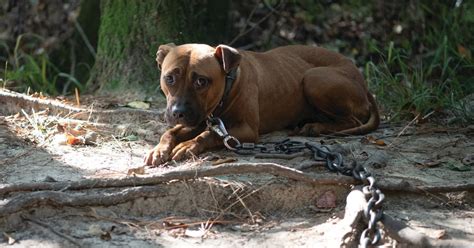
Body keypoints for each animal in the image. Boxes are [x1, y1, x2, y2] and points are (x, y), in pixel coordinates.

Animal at [143, 43, 380, 166]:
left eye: (201, 81)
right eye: (169, 78)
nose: (178, 112)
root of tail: (362, 81)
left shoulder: (245, 130)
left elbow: (208, 135)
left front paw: (188, 145)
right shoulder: (199, 120)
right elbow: (170, 132)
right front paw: (159, 149)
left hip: (314, 77)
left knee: (351, 120)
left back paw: (316, 126)